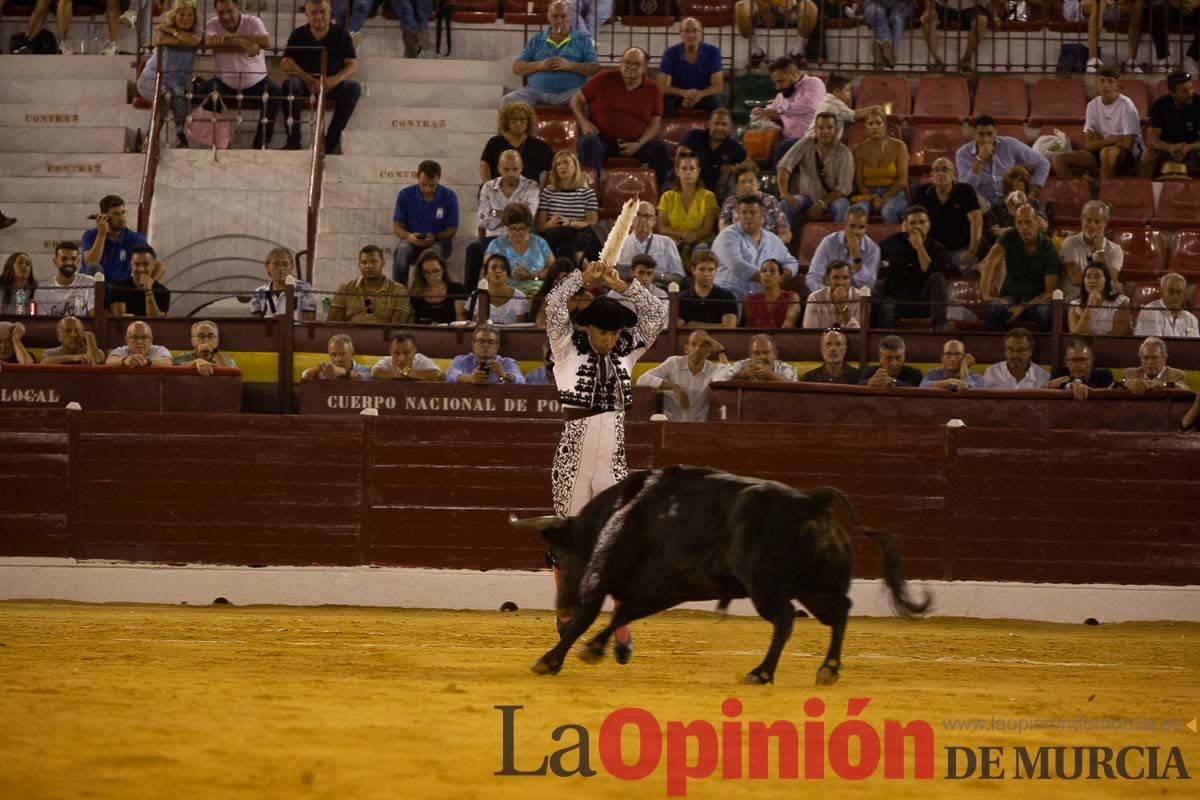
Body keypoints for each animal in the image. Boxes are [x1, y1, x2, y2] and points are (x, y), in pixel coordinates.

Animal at [506, 465, 926, 686]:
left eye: (558, 557)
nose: (562, 606)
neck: (617, 514)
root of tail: (811, 501)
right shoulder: (664, 589)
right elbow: (623, 613)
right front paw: (594, 649)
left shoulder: (602, 577)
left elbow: (588, 618)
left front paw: (550, 660)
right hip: (816, 588)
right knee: (839, 611)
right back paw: (828, 669)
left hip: (766, 588)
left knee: (785, 620)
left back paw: (762, 672)